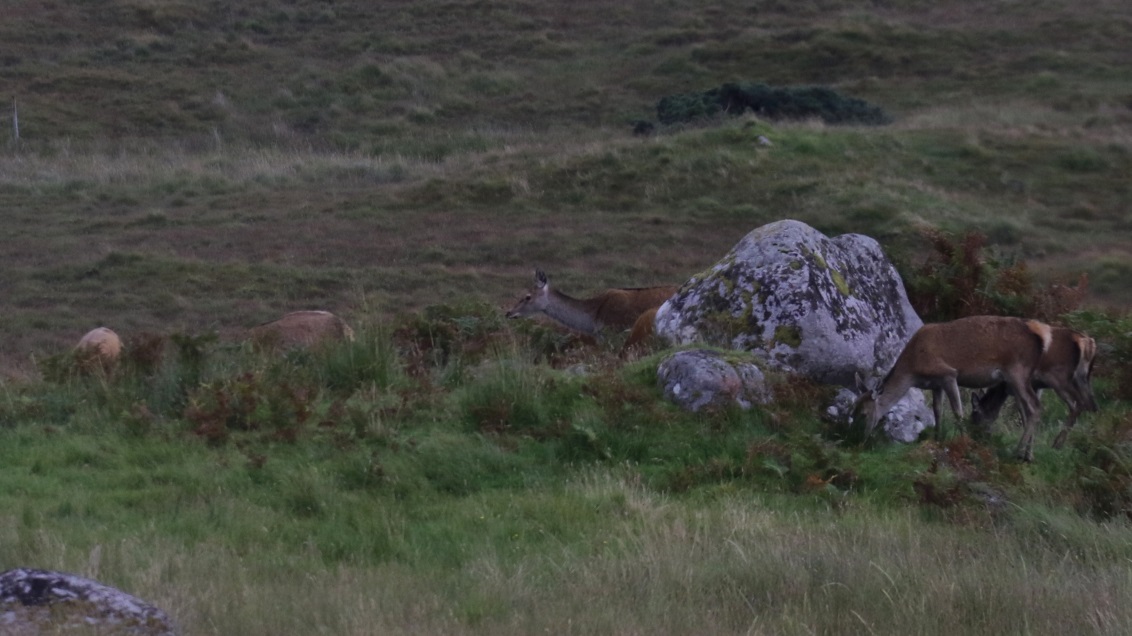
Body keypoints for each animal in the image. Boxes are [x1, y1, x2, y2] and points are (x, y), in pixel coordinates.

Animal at [853, 315, 1052, 461]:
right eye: (852, 410)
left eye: (864, 413)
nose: (856, 439)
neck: (913, 369)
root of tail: (1041, 340)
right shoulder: (936, 384)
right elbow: (937, 410)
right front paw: (937, 438)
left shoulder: (948, 374)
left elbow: (958, 411)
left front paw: (963, 442)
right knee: (1027, 412)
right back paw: (1028, 455)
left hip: (1017, 372)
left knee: (1034, 407)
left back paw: (1019, 453)